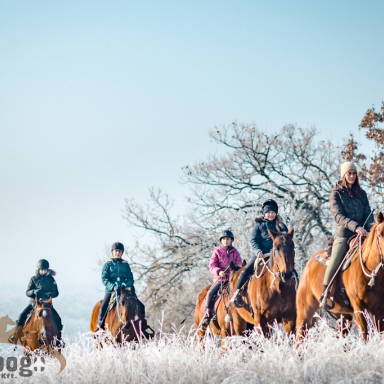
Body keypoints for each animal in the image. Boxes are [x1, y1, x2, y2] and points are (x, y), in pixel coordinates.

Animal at [296, 212, 384, 340]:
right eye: (380, 234)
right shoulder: (358, 307)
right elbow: (364, 336)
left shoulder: (379, 310)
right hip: (305, 312)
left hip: (343, 316)